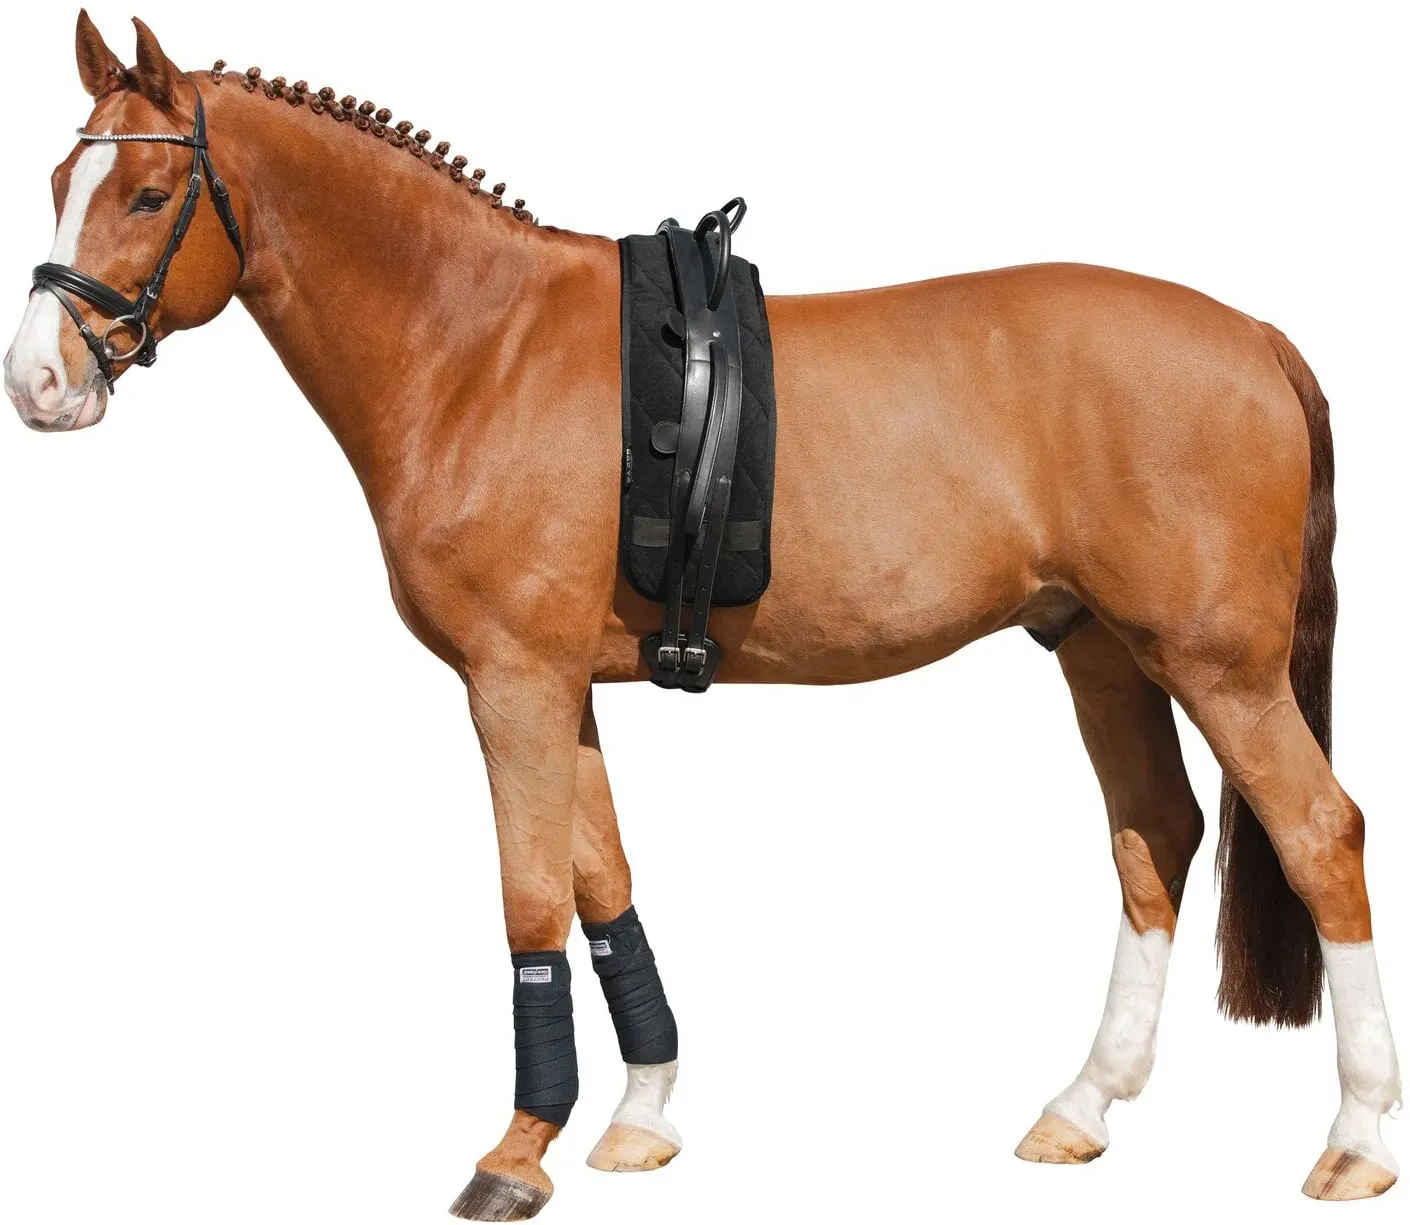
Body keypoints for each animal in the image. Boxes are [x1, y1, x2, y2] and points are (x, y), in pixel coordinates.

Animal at [4, 11, 1400, 1219]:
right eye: (61, 176)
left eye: (144, 196)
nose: (38, 382)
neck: (476, 345)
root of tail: (1257, 335)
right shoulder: (559, 686)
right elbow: (603, 878)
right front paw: (640, 1114)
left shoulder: (511, 682)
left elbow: (529, 900)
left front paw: (517, 1151)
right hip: (1102, 651)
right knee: (1155, 838)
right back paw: (1082, 1106)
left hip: (1220, 667)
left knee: (1319, 834)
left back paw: (1355, 1138)